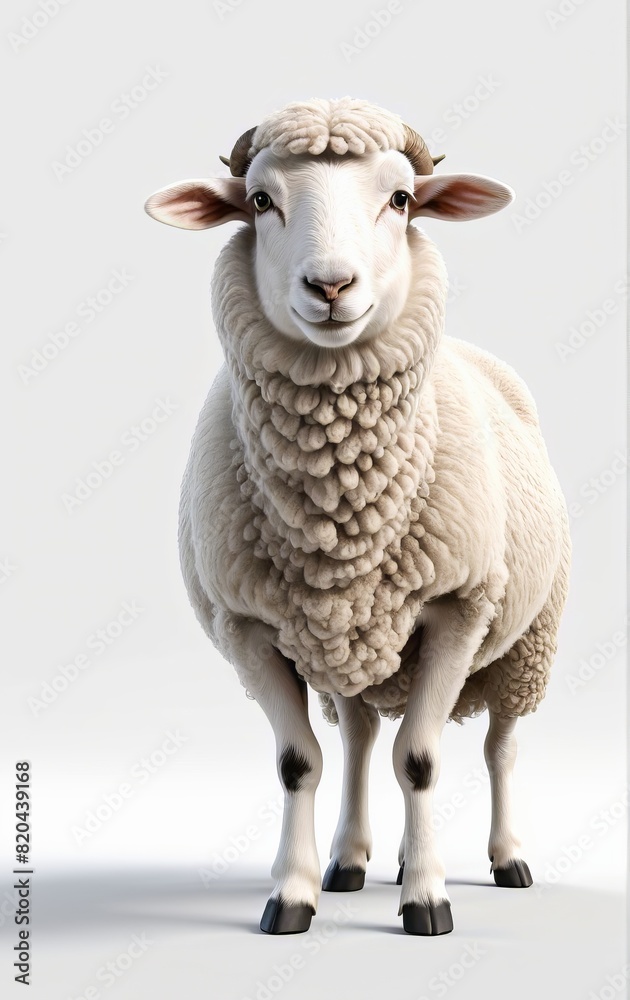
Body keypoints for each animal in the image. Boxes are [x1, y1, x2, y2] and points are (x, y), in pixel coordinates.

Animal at [145, 97, 571, 936]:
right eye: (259, 200)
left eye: (401, 199)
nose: (331, 285)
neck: (335, 508)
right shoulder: (246, 626)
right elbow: (300, 763)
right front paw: (294, 895)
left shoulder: (458, 609)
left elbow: (424, 761)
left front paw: (427, 902)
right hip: (347, 644)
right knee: (364, 739)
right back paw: (352, 860)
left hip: (525, 644)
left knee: (498, 748)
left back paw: (506, 858)